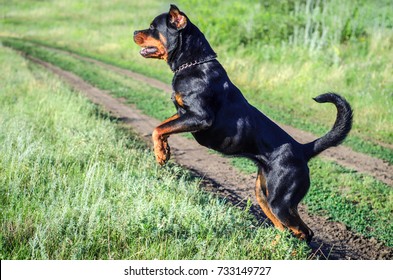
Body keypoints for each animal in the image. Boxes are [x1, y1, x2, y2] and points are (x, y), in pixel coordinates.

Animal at [135, 4, 352, 242]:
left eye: (153, 27)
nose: (134, 32)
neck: (193, 64)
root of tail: (303, 149)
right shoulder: (183, 114)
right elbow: (162, 127)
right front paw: (164, 150)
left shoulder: (200, 117)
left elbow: (158, 128)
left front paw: (160, 155)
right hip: (263, 194)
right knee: (285, 229)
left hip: (281, 201)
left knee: (304, 232)